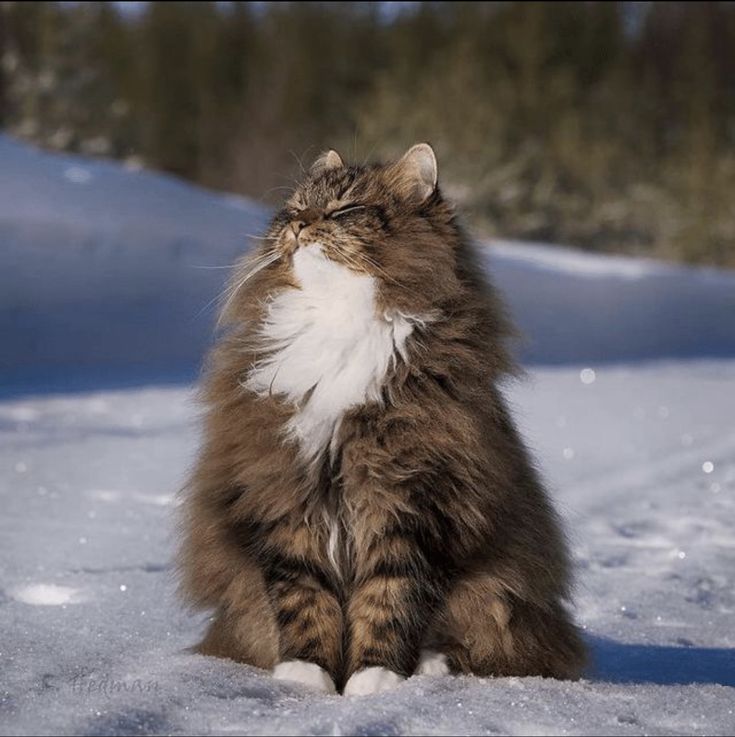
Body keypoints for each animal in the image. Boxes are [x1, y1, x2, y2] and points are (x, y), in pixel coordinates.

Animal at [178, 144, 588, 696]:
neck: (338, 322)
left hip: (496, 591)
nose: (300, 225)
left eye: (344, 210)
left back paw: (430, 666)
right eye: (294, 209)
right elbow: (302, 596)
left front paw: (374, 679)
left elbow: (390, 598)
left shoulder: (416, 500)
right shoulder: (282, 491)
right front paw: (306, 676)